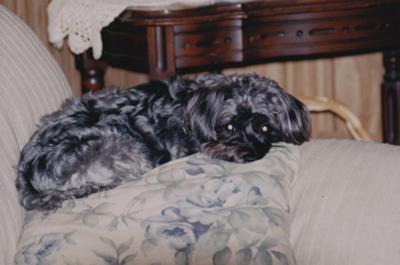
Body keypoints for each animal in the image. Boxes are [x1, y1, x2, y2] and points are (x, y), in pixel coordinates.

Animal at [15, 72, 310, 210]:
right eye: (229, 126)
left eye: (264, 127)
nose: (250, 155)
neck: (191, 107)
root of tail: (26, 177)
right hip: (122, 148)